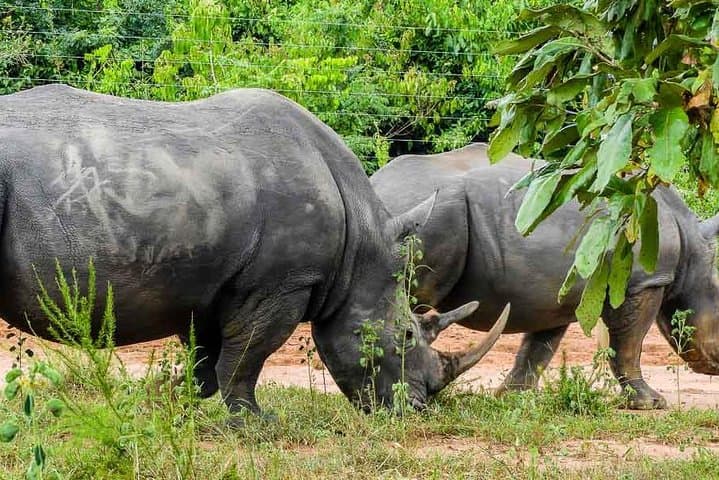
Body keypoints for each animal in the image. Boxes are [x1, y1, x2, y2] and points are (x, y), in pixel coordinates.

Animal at [0, 86, 509, 416]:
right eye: (405, 336)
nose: (417, 408)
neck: (361, 250)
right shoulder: (282, 282)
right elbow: (248, 354)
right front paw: (253, 421)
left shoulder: (211, 280)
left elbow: (208, 358)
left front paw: (171, 401)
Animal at [371, 143, 719, 409]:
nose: (714, 366)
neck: (693, 248)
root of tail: (376, 187)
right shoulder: (643, 281)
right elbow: (628, 344)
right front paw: (651, 403)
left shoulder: (557, 292)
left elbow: (540, 347)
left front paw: (511, 398)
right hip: (421, 214)